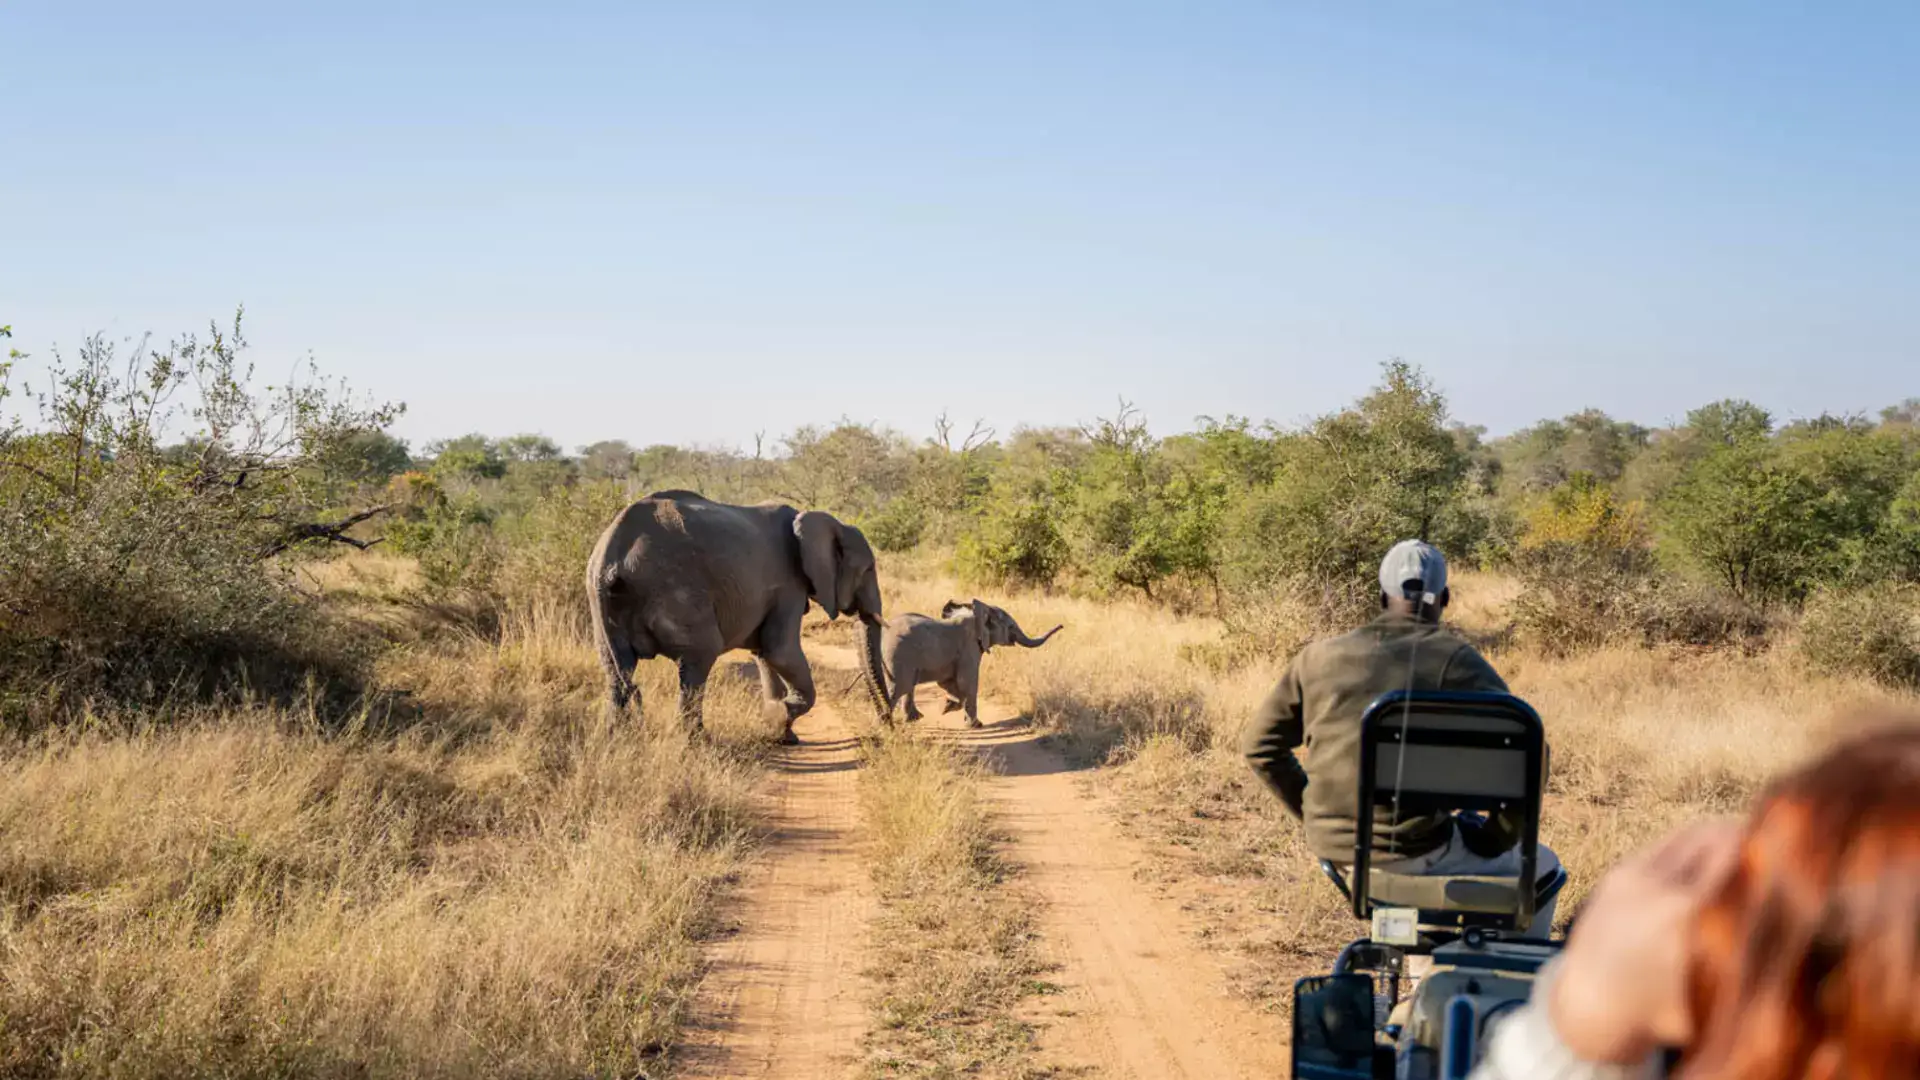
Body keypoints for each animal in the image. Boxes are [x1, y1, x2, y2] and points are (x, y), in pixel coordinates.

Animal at [585, 490, 890, 742]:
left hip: (602, 604)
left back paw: (617, 740)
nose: (886, 725)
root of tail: (610, 554)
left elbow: (763, 653)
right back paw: (697, 743)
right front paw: (775, 718)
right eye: (868, 570)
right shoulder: (788, 584)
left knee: (616, 669)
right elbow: (780, 651)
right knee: (698, 658)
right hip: (676, 591)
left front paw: (782, 734)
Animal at [879, 599, 1061, 727]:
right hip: (899, 654)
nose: (1061, 625)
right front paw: (975, 725)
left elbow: (949, 682)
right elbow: (967, 681)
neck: (981, 612)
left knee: (907, 686)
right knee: (899, 687)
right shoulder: (970, 647)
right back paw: (886, 725)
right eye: (1010, 627)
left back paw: (913, 719)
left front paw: (946, 707)